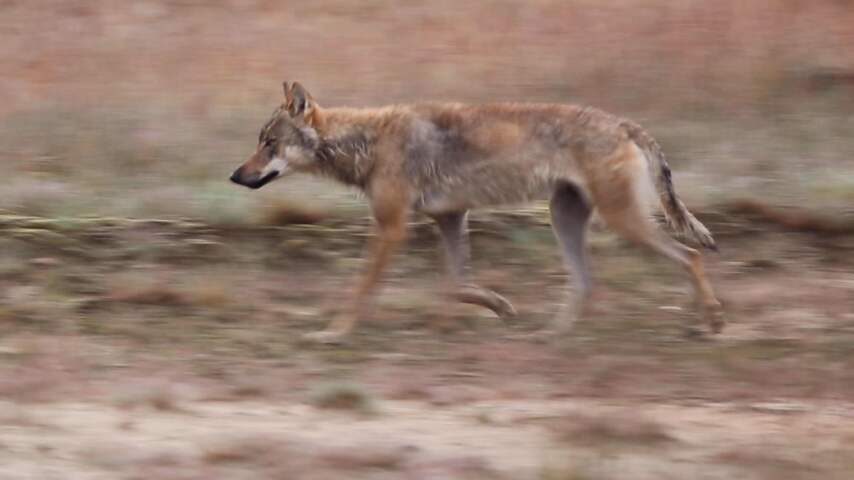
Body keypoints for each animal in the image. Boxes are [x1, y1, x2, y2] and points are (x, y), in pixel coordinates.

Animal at [230, 82, 723, 343]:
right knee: (586, 283)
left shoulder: (391, 227)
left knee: (691, 257)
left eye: (269, 144)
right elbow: (457, 284)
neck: (368, 142)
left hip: (623, 221)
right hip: (565, 219)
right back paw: (551, 335)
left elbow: (362, 288)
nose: (235, 175)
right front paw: (500, 307)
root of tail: (623, 122)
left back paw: (711, 321)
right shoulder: (450, 217)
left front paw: (334, 333)